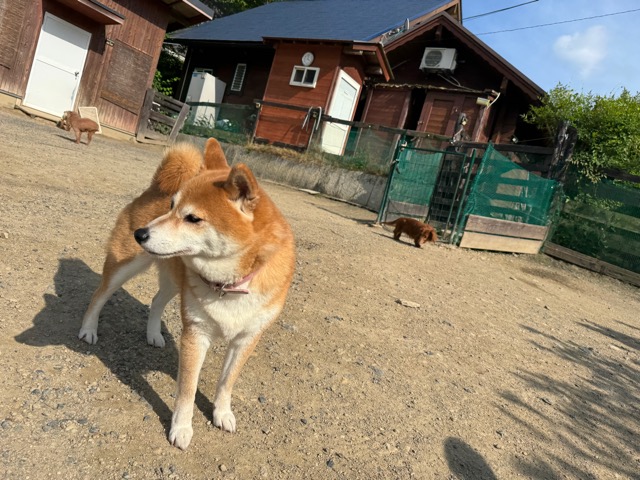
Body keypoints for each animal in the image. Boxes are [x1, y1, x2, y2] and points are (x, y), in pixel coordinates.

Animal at [79, 138, 296, 449]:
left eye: (193, 218)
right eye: (171, 206)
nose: (140, 234)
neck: (231, 284)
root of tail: (156, 186)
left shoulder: (247, 338)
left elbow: (227, 382)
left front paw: (222, 413)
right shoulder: (196, 334)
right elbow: (187, 391)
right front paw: (181, 428)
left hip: (173, 279)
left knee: (156, 301)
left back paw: (154, 335)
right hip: (125, 265)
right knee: (99, 295)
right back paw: (88, 330)